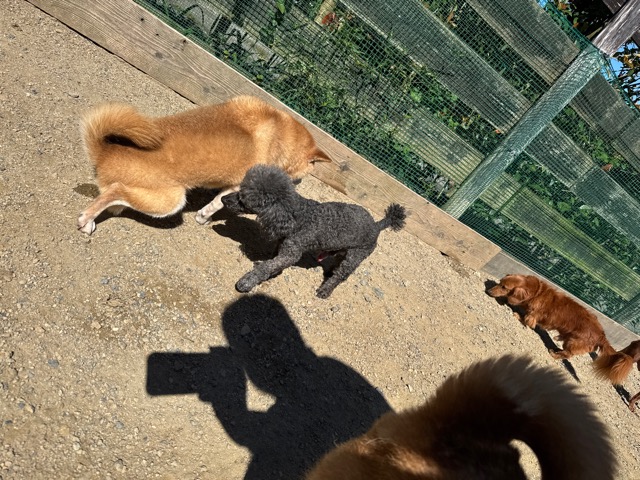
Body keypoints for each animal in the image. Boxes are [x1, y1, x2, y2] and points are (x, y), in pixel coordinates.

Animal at [77, 95, 331, 234]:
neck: (280, 131)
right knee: (114, 191)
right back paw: (86, 221)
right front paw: (203, 217)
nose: (297, 183)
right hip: (171, 200)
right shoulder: (238, 186)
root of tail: (106, 152)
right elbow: (216, 204)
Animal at [221, 165, 406, 298]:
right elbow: (273, 260)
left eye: (243, 199)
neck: (297, 216)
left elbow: (269, 266)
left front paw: (248, 281)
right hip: (342, 250)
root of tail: (377, 225)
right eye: (240, 189)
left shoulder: (292, 253)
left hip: (355, 256)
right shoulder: (283, 244)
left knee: (341, 275)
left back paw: (326, 290)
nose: (223, 199)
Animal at [487, 274, 615, 360]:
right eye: (500, 283)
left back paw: (554, 354)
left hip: (573, 342)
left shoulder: (533, 315)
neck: (537, 292)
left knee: (567, 355)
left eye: (504, 287)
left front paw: (518, 315)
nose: (488, 291)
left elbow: (527, 319)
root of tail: (602, 336)